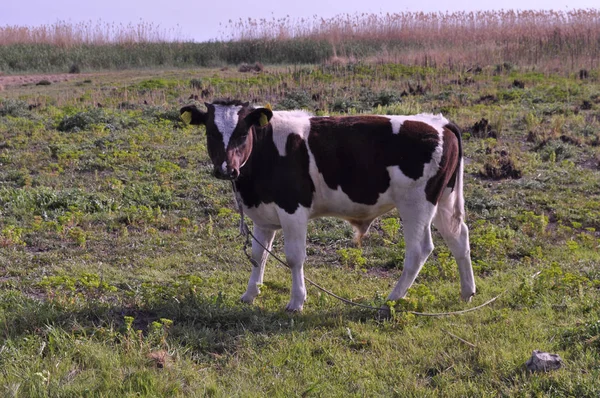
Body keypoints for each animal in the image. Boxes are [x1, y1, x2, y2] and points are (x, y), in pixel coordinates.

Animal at [180, 99, 476, 310]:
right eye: (210, 131)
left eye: (243, 132)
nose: (226, 169)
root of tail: (439, 122)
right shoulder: (263, 216)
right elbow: (258, 256)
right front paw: (250, 294)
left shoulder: (293, 208)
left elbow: (294, 257)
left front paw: (296, 301)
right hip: (444, 198)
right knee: (459, 237)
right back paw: (467, 292)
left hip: (416, 203)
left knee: (419, 250)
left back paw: (391, 299)